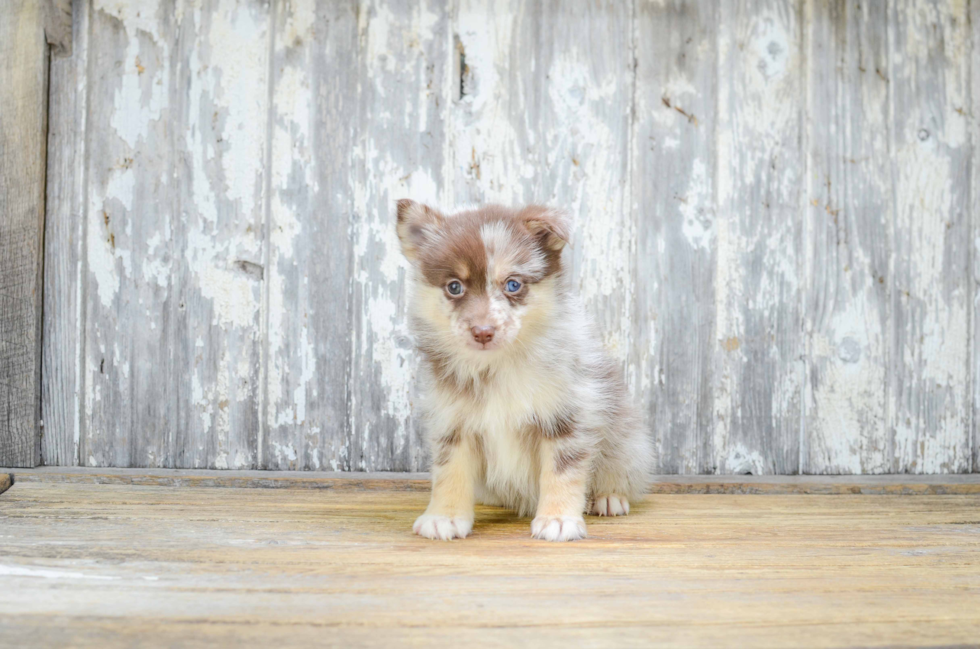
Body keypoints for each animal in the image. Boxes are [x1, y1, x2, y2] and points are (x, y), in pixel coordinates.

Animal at [398, 199, 652, 540]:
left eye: (513, 284)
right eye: (454, 287)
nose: (483, 332)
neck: (498, 365)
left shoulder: (567, 418)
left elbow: (562, 472)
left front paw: (558, 519)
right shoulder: (453, 423)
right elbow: (449, 472)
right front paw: (445, 517)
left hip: (627, 442)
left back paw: (608, 497)